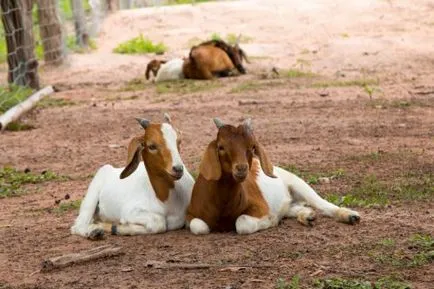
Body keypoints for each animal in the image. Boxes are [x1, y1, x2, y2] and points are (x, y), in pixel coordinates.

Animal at [186, 118, 360, 233]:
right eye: (221, 147)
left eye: (252, 147)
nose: (241, 169)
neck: (222, 207)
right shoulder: (190, 215)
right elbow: (199, 227)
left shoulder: (260, 207)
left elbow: (242, 224)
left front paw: (271, 221)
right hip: (289, 202)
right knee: (295, 207)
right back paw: (307, 216)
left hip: (297, 183)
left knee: (322, 204)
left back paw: (350, 216)